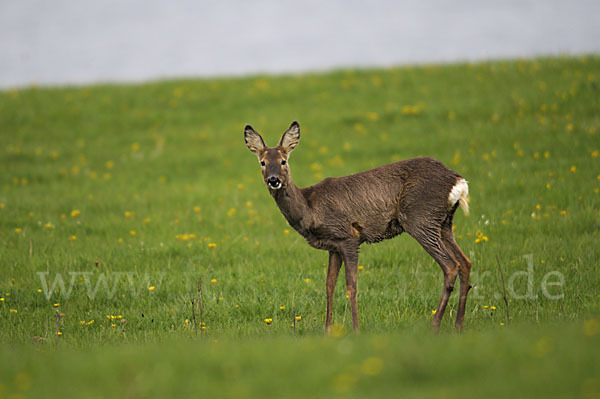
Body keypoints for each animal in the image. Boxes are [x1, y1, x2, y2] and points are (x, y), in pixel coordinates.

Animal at [244, 122, 474, 334]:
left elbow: (351, 285)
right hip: (443, 223)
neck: (309, 209)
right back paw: (458, 325)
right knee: (465, 262)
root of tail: (459, 181)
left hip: (420, 218)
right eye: (263, 162)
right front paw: (327, 329)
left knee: (450, 265)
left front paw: (355, 328)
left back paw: (434, 325)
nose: (274, 180)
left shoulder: (349, 237)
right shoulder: (333, 246)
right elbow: (329, 285)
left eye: (284, 161)